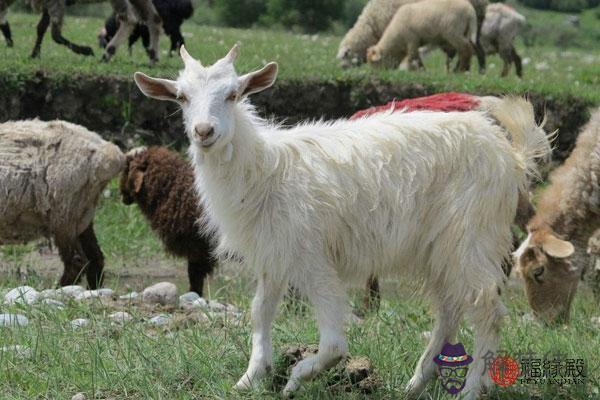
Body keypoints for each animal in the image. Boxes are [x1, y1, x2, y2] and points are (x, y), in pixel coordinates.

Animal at [0, 119, 124, 288]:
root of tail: (106, 154)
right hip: (82, 211)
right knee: (96, 257)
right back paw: (92, 289)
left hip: (63, 210)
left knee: (77, 261)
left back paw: (58, 288)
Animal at [134, 45, 552, 398]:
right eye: (181, 97)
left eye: (234, 94)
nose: (204, 132)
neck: (267, 170)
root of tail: (510, 153)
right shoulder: (275, 254)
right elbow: (260, 312)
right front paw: (250, 377)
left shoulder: (314, 258)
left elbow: (335, 344)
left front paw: (296, 378)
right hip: (440, 248)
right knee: (450, 309)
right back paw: (416, 382)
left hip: (471, 236)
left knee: (486, 309)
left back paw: (472, 388)